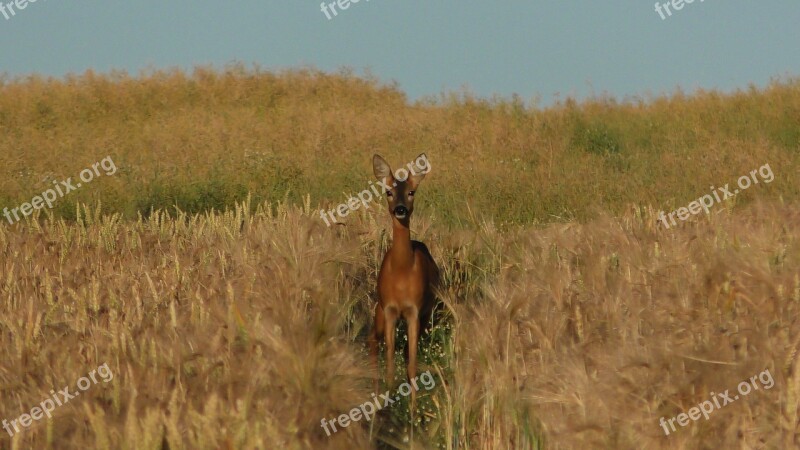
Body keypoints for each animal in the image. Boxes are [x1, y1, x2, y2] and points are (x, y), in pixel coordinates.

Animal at [368, 153, 438, 414]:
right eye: (388, 192)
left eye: (411, 192)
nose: (400, 209)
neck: (401, 271)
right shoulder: (389, 309)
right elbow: (390, 365)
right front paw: (389, 404)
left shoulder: (414, 311)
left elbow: (412, 365)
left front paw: (413, 412)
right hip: (378, 309)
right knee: (372, 339)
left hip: (427, 314)